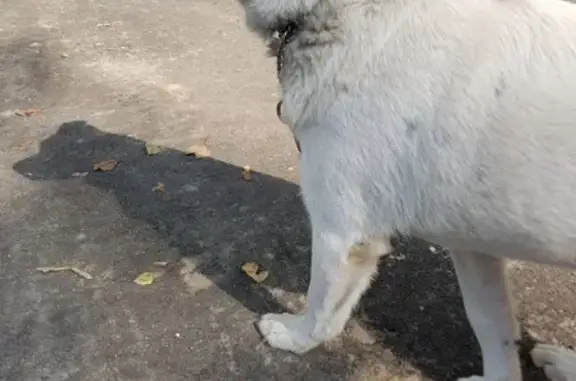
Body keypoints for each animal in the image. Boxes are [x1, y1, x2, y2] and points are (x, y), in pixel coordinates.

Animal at [237, 0, 576, 380]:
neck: (343, 13)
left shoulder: (342, 235)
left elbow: (320, 309)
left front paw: (295, 337)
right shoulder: (473, 249)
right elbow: (491, 325)